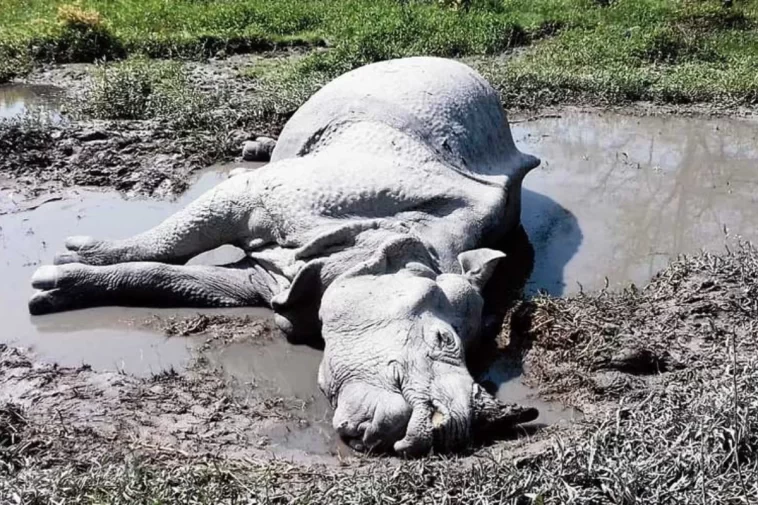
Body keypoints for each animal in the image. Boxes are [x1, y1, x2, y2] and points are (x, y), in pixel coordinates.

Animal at [29, 57, 541, 455]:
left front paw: (53, 288)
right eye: (442, 338)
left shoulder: (272, 279)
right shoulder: (268, 197)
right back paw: (250, 152)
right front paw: (74, 255)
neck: (388, 245)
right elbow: (171, 239)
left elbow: (173, 278)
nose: (444, 433)